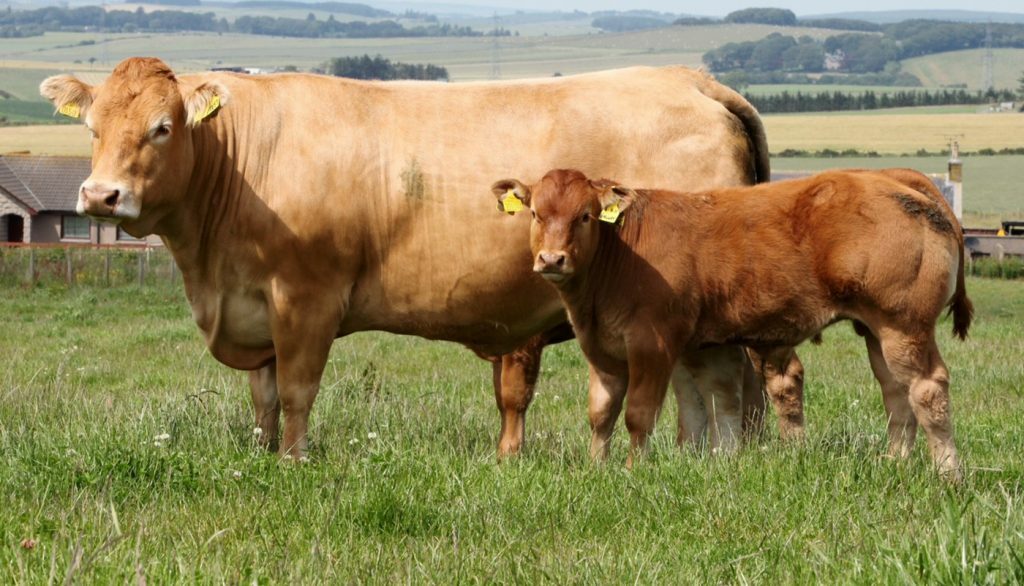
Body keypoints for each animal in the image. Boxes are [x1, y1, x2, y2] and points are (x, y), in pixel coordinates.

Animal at [40, 57, 773, 460]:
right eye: (93, 128)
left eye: (162, 128)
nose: (99, 195)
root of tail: (694, 81)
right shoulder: (254, 303)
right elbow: (264, 398)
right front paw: (261, 453)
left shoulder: (305, 297)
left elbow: (298, 391)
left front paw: (294, 463)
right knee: (696, 383)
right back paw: (691, 459)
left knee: (728, 380)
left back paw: (719, 460)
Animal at [493, 168, 971, 479]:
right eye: (535, 214)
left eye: (586, 216)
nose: (551, 259)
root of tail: (898, 182)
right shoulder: (605, 349)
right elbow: (604, 413)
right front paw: (597, 468)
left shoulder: (652, 344)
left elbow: (638, 414)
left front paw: (632, 471)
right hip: (876, 330)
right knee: (895, 392)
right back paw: (896, 462)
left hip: (903, 324)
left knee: (927, 389)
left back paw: (948, 473)